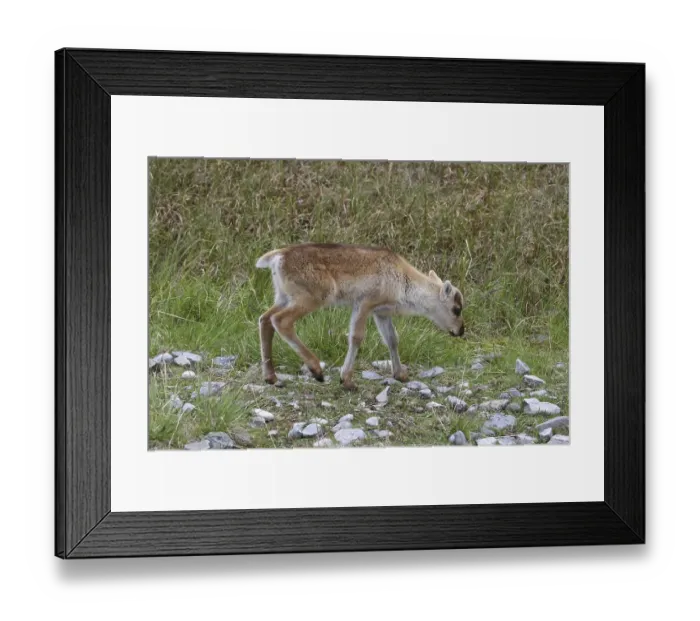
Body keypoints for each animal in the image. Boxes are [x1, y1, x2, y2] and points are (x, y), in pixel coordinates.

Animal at [255, 243, 465, 391]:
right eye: (456, 308)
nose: (461, 330)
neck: (403, 282)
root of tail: (277, 257)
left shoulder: (381, 312)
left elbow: (392, 339)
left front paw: (401, 374)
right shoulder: (364, 304)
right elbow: (356, 337)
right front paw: (347, 380)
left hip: (283, 297)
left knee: (265, 319)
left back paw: (271, 377)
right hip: (311, 297)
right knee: (280, 320)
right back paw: (317, 370)